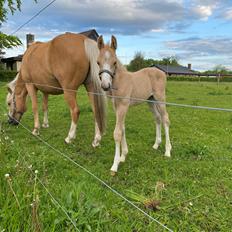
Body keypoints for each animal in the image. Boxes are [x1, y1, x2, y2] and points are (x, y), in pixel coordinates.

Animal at [96, 35, 170, 175]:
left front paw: (115, 165)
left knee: (165, 119)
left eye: (115, 62)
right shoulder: (117, 107)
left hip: (160, 99)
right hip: (150, 101)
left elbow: (117, 133)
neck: (120, 81)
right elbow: (123, 128)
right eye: (98, 62)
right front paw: (123, 156)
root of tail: (162, 72)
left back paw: (168, 151)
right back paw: (156, 144)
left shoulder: (123, 106)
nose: (105, 86)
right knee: (157, 118)